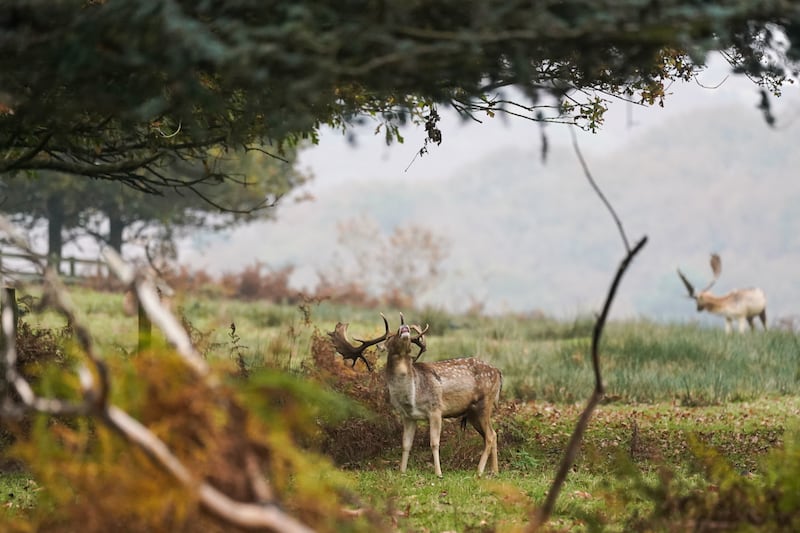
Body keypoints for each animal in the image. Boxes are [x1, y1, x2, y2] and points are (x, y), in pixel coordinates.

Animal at [328, 314, 504, 476]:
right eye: (389, 337)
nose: (404, 327)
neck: (412, 396)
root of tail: (498, 372)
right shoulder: (408, 416)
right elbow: (406, 444)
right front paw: (402, 471)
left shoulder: (436, 409)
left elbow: (434, 443)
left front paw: (438, 473)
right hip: (473, 412)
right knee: (493, 434)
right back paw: (494, 471)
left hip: (484, 403)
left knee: (489, 436)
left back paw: (479, 471)